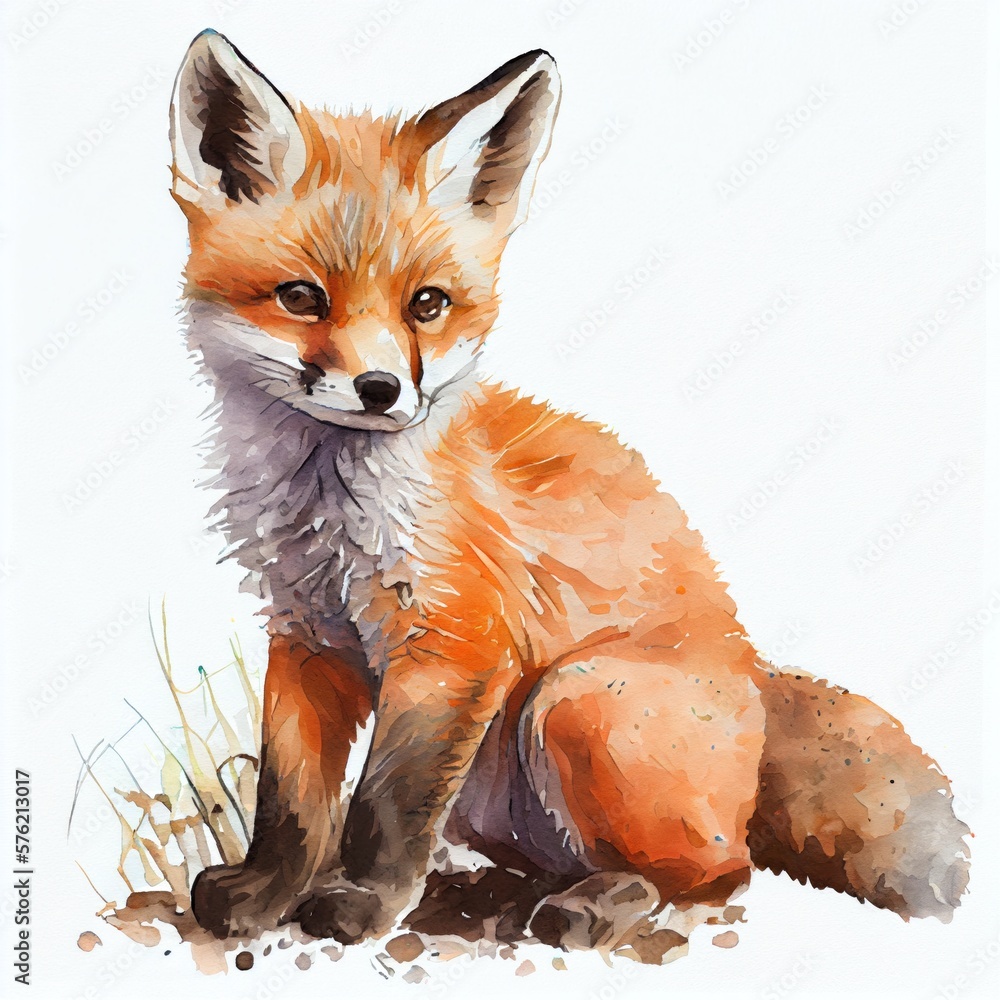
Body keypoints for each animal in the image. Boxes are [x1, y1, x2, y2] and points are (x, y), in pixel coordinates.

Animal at [170, 29, 970, 954]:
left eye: (427, 305)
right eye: (302, 297)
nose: (380, 389)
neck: (333, 507)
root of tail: (753, 678)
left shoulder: (454, 643)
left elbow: (385, 808)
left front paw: (361, 903)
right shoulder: (308, 637)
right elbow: (292, 801)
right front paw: (269, 891)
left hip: (573, 702)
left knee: (718, 873)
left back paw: (595, 906)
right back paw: (504, 889)